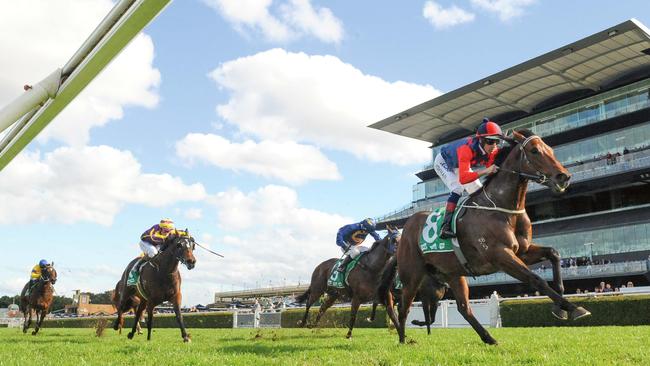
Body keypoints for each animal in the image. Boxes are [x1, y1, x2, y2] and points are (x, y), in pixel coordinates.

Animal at [378, 130, 588, 344]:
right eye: (535, 150)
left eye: (551, 149)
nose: (564, 177)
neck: (502, 208)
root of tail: (404, 232)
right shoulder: (500, 255)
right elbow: (536, 279)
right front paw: (573, 308)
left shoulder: (522, 251)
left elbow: (554, 253)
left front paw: (560, 308)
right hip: (412, 275)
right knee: (403, 307)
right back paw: (403, 340)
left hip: (453, 274)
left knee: (464, 308)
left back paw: (489, 338)